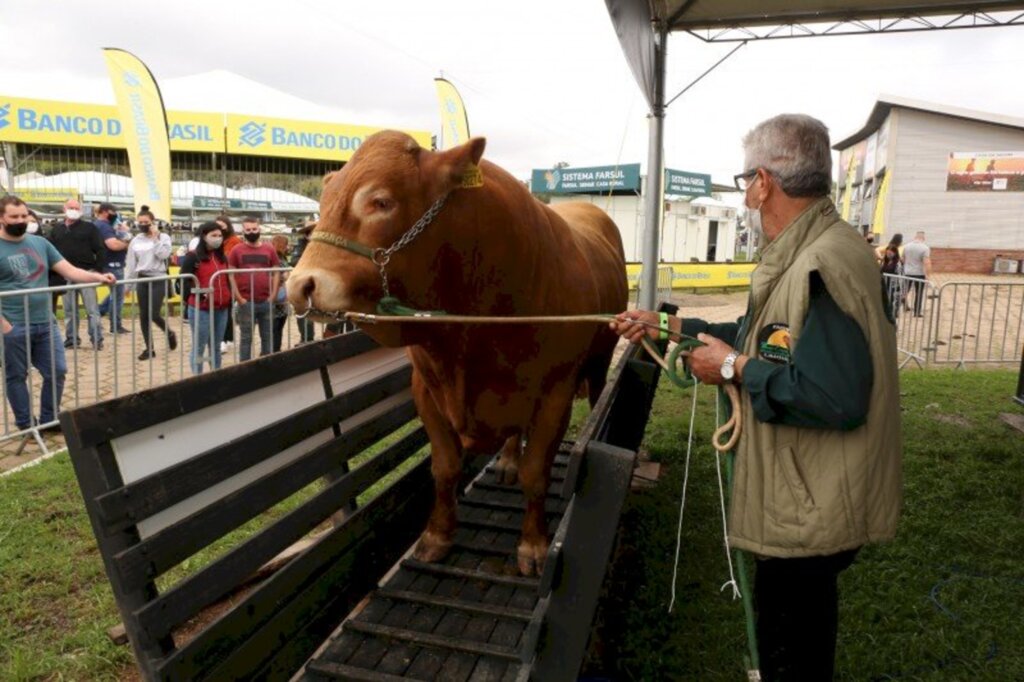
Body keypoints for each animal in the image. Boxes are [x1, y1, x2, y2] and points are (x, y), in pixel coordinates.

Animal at [284, 129, 626, 573]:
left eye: (381, 202)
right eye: (322, 206)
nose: (299, 286)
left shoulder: (556, 391)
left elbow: (537, 473)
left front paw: (533, 544)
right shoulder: (426, 388)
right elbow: (445, 468)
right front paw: (438, 535)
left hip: (600, 358)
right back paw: (507, 460)